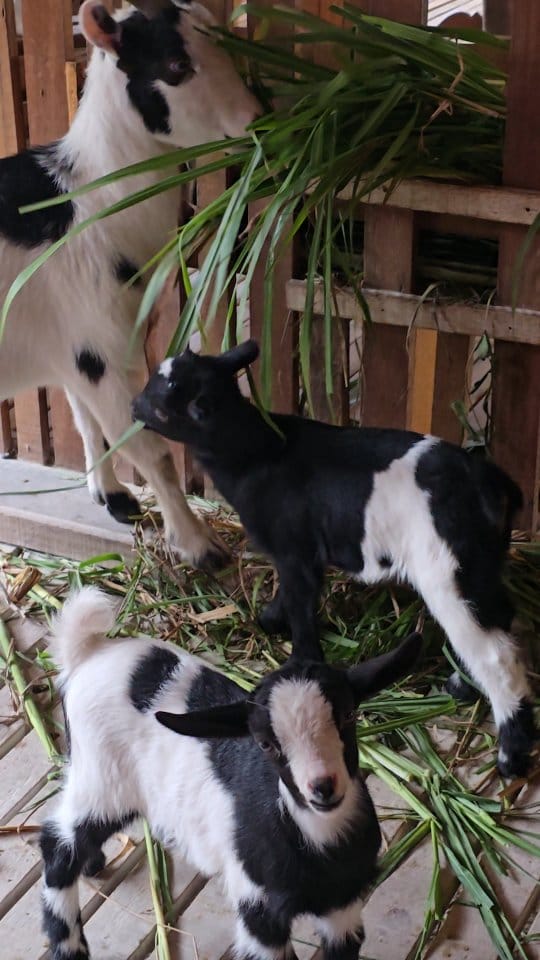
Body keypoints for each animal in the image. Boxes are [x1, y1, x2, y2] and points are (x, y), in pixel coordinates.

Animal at [0, 0, 260, 569]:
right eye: (175, 66)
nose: (257, 121)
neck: (92, 203)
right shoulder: (96, 344)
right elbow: (152, 449)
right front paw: (199, 546)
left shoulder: (80, 345)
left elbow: (86, 420)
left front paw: (113, 496)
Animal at [40, 586, 421, 960]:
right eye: (265, 743)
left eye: (348, 715)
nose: (322, 787)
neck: (320, 840)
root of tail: (89, 652)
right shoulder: (259, 910)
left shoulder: (342, 904)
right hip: (101, 778)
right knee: (57, 843)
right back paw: (68, 947)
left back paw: (92, 864)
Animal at [132, 340, 537, 778]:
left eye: (163, 405)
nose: (134, 405)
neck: (259, 453)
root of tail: (491, 483)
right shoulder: (300, 553)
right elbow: (292, 595)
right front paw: (269, 621)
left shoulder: (294, 547)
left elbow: (301, 604)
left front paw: (298, 660)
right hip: (483, 563)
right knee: (498, 620)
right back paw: (462, 685)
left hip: (449, 572)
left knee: (496, 654)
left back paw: (511, 756)